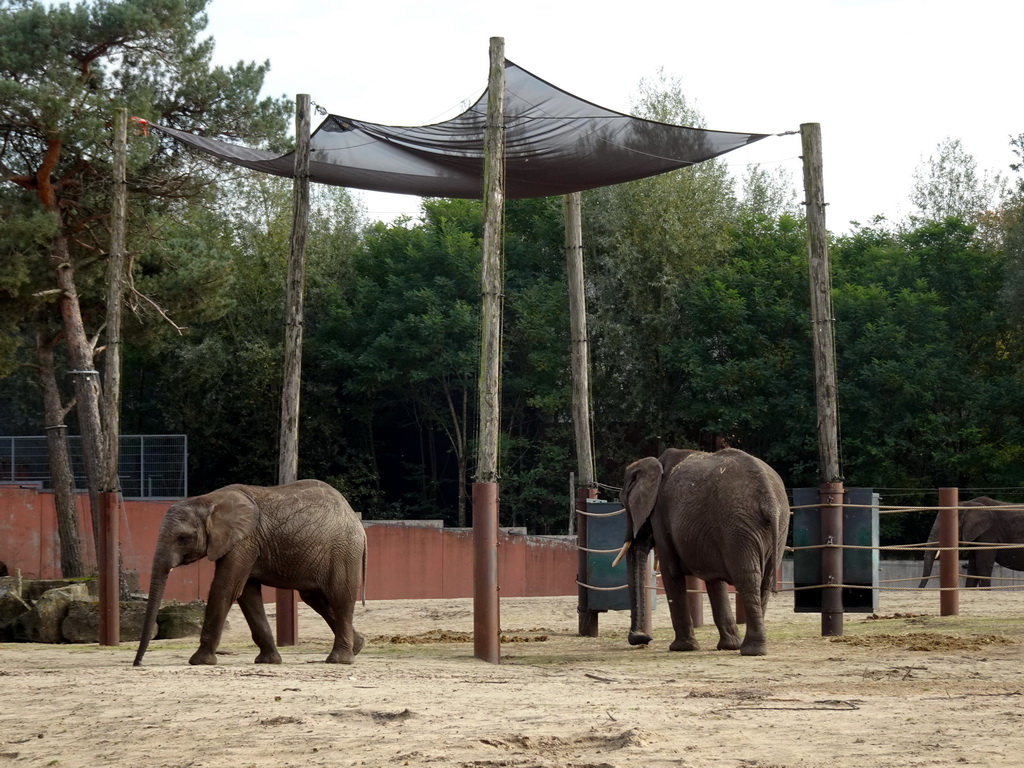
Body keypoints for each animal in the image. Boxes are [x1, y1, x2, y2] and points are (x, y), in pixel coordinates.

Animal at [131, 481, 364, 667]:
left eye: (182, 538)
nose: (138, 663)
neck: (207, 500)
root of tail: (355, 517)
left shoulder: (243, 542)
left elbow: (225, 588)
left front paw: (199, 661)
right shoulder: (244, 544)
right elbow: (247, 594)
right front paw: (268, 661)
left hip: (343, 551)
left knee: (339, 597)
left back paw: (339, 660)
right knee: (315, 598)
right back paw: (358, 646)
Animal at [614, 448, 790, 659]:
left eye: (624, 503)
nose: (643, 638)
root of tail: (769, 498)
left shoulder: (661, 513)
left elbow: (670, 571)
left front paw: (682, 648)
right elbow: (714, 580)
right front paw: (728, 646)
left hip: (737, 527)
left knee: (747, 579)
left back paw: (751, 650)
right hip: (775, 526)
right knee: (763, 581)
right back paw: (751, 647)